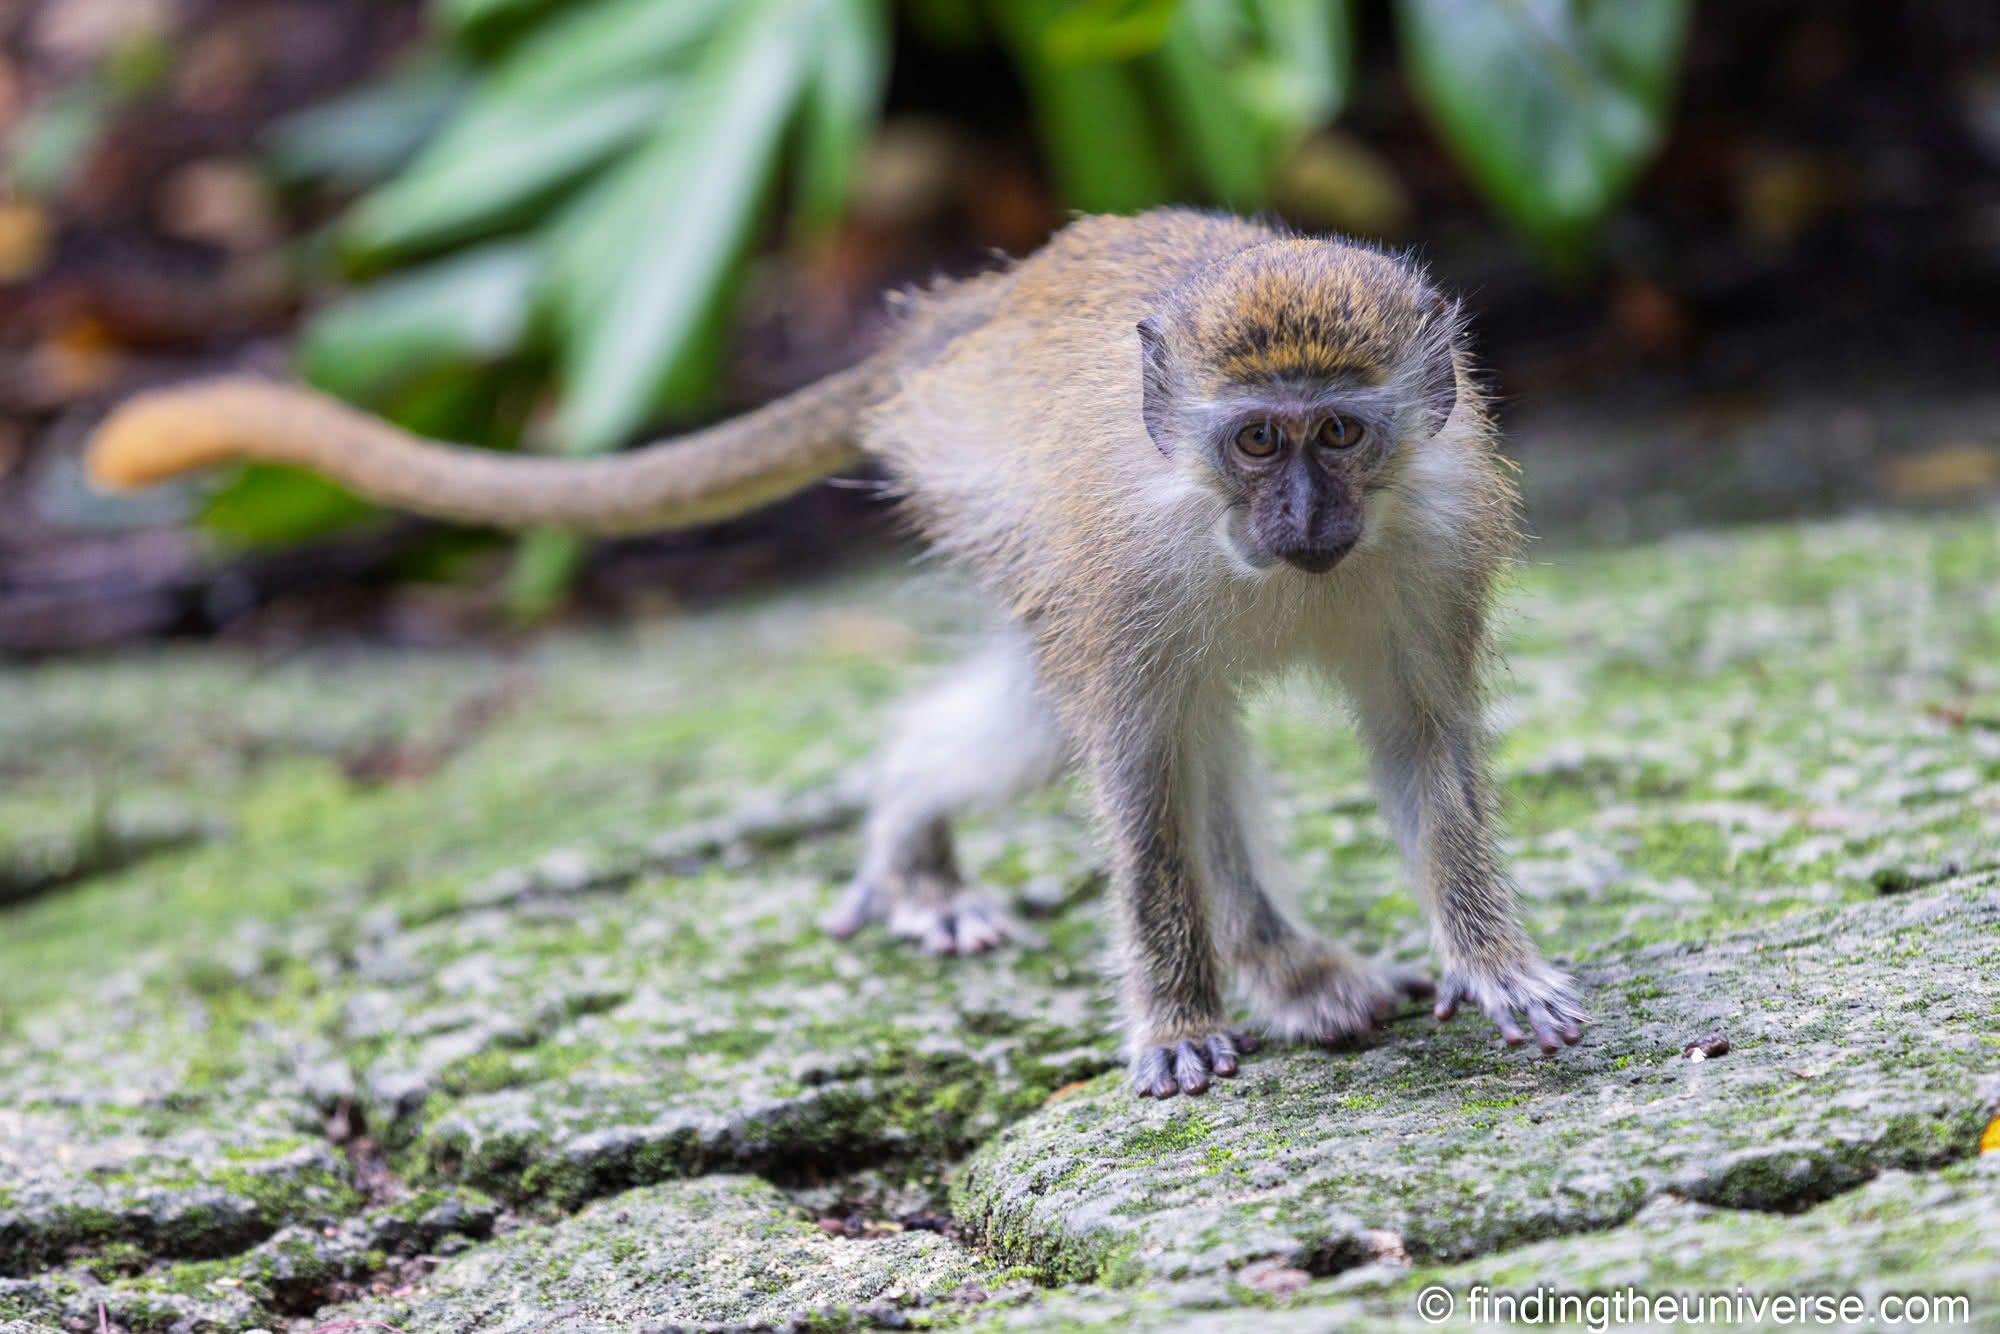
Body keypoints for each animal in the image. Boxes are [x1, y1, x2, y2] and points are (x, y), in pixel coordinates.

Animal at [86, 209, 1585, 1098]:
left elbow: (1423, 750)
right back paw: (918, 845)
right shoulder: (1118, 565)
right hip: (989, 493)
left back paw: (1276, 964)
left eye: (1337, 434)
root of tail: (966, 313)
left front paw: (1491, 958)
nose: (1300, 517)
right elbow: (1137, 778)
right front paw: (1172, 1017)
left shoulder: (1440, 538)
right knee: (1101, 728)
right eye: (1257, 439)